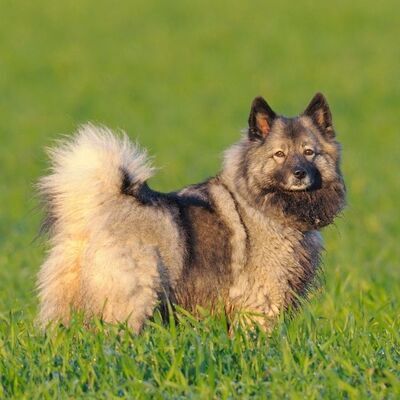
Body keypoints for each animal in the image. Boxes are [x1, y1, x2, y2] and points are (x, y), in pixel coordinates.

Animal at [36, 93, 344, 332]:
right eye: (279, 154)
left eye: (309, 152)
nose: (299, 173)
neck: (262, 204)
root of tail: (98, 208)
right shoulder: (261, 302)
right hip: (132, 300)